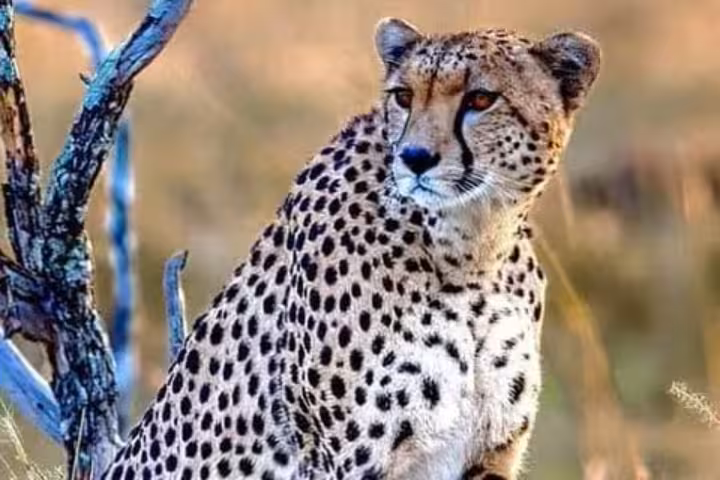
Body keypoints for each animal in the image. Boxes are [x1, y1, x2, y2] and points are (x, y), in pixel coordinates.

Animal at [102, 17, 600, 480]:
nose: (415, 158)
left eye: (480, 99)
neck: (472, 249)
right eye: (403, 96)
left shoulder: (490, 454)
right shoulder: (345, 459)